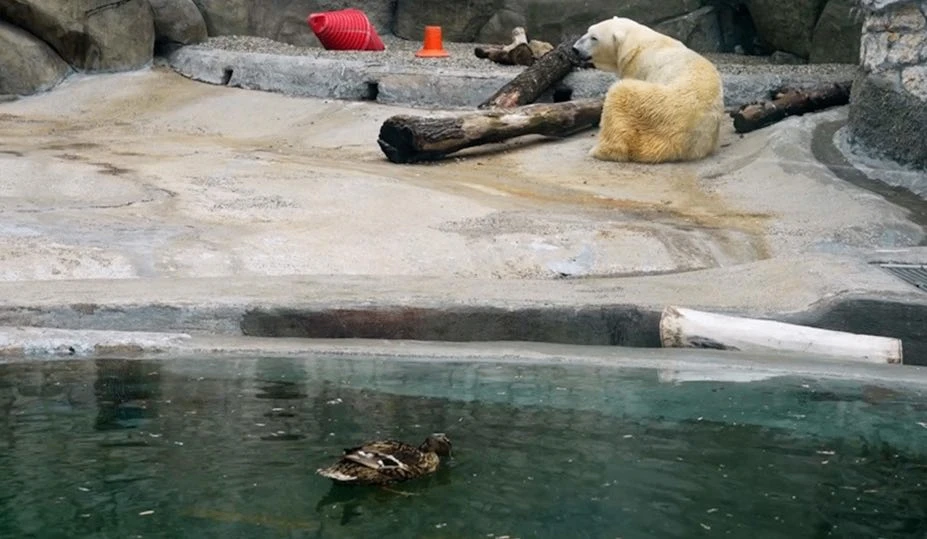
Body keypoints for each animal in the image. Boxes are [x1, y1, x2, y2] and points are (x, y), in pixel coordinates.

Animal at [572, 17, 725, 164]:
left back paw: (598, 150)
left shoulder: (637, 68)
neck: (637, 41)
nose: (575, 49)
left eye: (594, 38)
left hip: (650, 107)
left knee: (618, 94)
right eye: (588, 30)